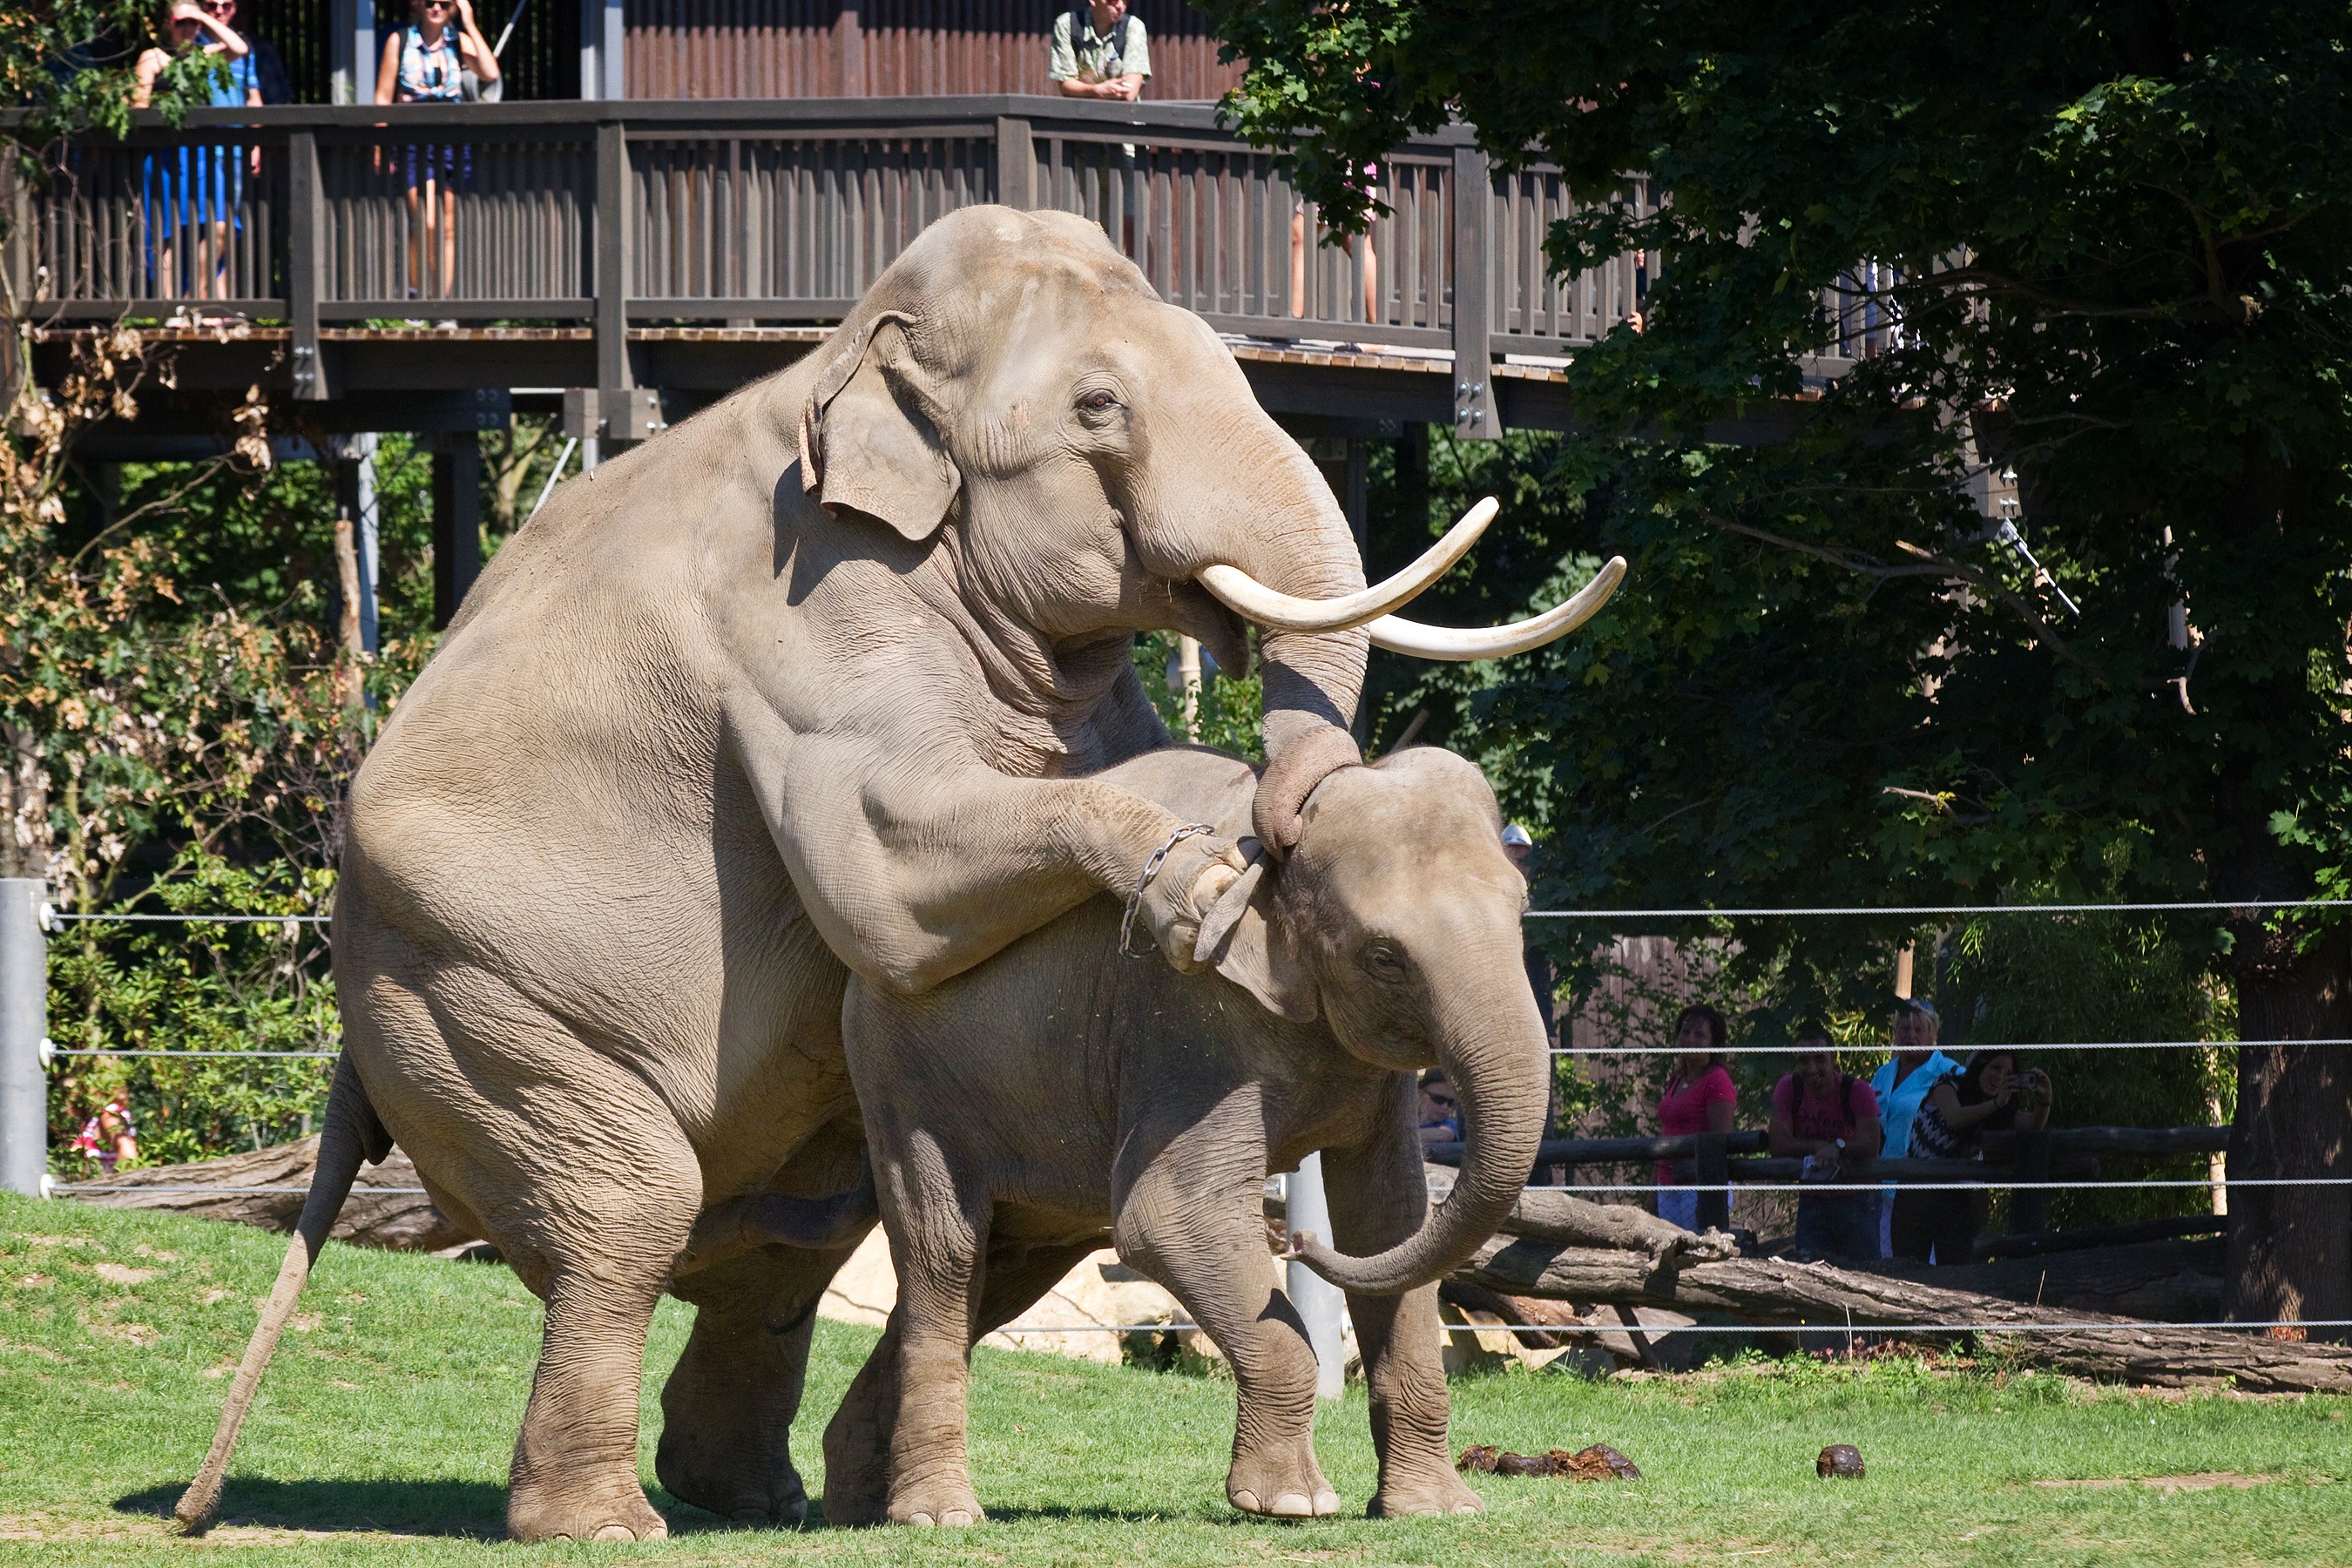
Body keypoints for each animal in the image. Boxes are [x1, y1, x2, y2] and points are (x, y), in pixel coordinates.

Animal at [823, 741, 1546, 1527]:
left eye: (1523, 909)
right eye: (1384, 956)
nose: (1297, 1240)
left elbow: (1389, 1223)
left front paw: (1438, 1511)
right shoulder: (1190, 1017)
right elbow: (1167, 1218)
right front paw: (1291, 1503)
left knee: (1001, 1274)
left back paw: (858, 1500)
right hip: (903, 1080)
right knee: (947, 1255)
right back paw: (937, 1515)